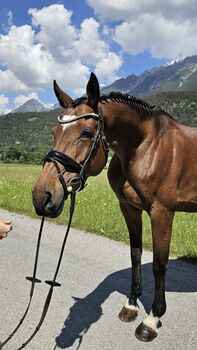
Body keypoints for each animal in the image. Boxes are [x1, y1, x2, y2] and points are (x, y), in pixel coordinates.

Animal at [33, 72, 196, 342]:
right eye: (55, 132)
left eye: (87, 132)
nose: (42, 196)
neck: (145, 146)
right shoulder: (129, 208)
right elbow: (136, 254)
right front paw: (131, 305)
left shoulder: (162, 213)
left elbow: (160, 265)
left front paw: (152, 319)